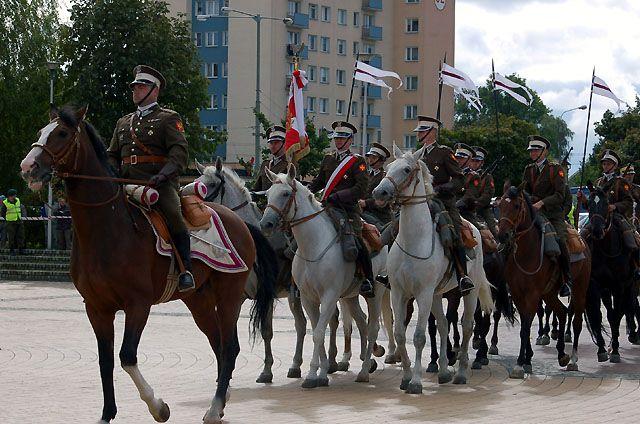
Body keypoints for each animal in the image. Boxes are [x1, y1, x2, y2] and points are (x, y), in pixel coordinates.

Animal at [19, 105, 264, 420]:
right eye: (41, 132)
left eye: (61, 133)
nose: (28, 166)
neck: (107, 228)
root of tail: (239, 221)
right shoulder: (96, 308)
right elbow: (105, 361)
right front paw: (106, 414)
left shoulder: (138, 304)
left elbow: (126, 356)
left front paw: (158, 406)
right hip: (199, 300)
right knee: (219, 344)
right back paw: (221, 401)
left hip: (229, 295)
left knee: (230, 347)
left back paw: (214, 407)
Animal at [258, 165, 388, 388]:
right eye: (267, 194)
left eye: (285, 194)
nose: (266, 224)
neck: (312, 246)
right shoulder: (308, 298)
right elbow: (315, 329)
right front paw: (323, 371)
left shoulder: (329, 296)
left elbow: (319, 333)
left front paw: (312, 374)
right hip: (350, 295)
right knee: (361, 320)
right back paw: (367, 361)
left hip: (376, 293)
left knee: (372, 328)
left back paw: (364, 371)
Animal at [372, 145, 492, 394]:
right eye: (388, 168)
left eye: (406, 169)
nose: (380, 192)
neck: (413, 240)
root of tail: (476, 227)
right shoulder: (398, 293)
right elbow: (400, 334)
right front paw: (406, 377)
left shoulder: (423, 294)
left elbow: (418, 336)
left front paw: (416, 382)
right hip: (437, 295)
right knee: (445, 325)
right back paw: (445, 371)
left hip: (468, 292)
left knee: (467, 326)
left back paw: (461, 373)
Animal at [500, 187, 592, 376]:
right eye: (498, 205)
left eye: (516, 205)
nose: (501, 235)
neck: (527, 252)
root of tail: (582, 241)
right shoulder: (518, 294)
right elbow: (525, 327)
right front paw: (527, 360)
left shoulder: (532, 295)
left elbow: (526, 326)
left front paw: (520, 363)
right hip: (549, 293)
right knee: (562, 312)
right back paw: (561, 354)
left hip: (579, 289)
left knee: (577, 321)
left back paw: (573, 359)